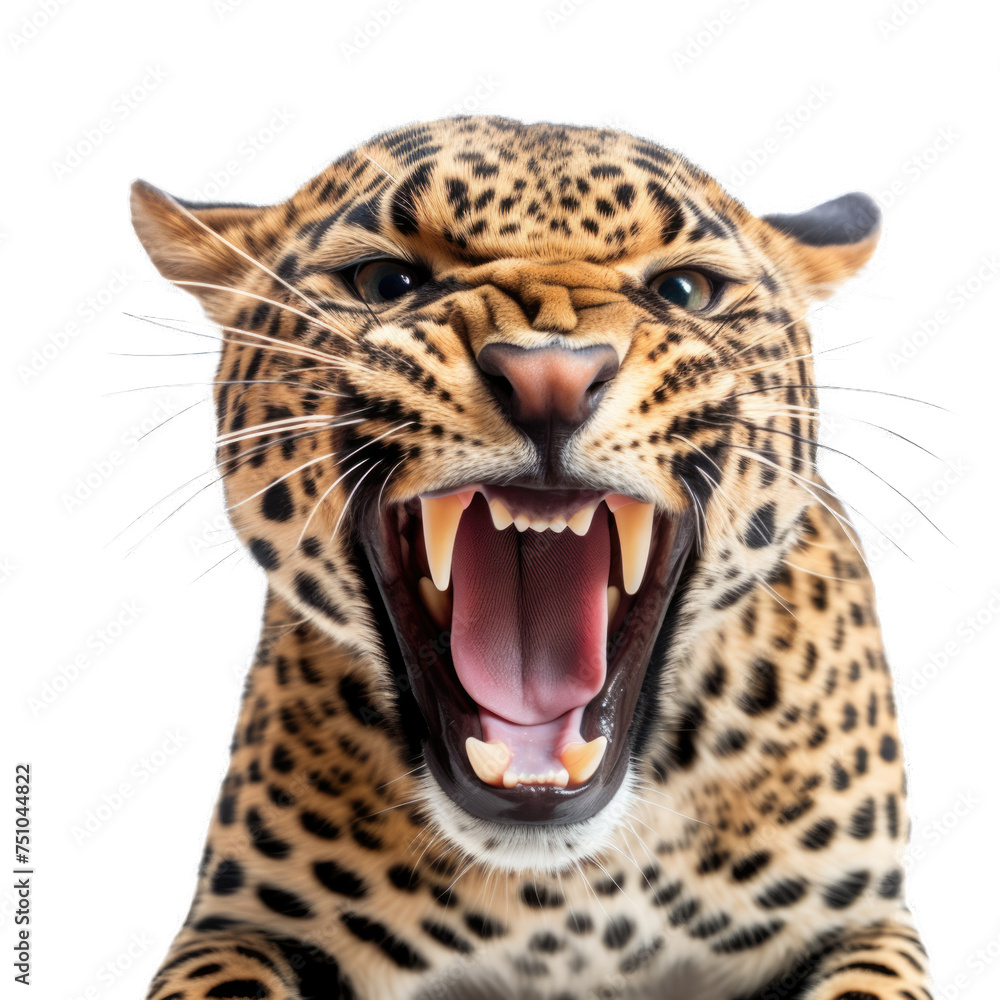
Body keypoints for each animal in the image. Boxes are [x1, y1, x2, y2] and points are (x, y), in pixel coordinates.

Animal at [130, 115, 931, 1000]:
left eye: (684, 292)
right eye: (386, 281)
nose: (552, 377)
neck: (567, 894)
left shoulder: (859, 919)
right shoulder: (242, 922)